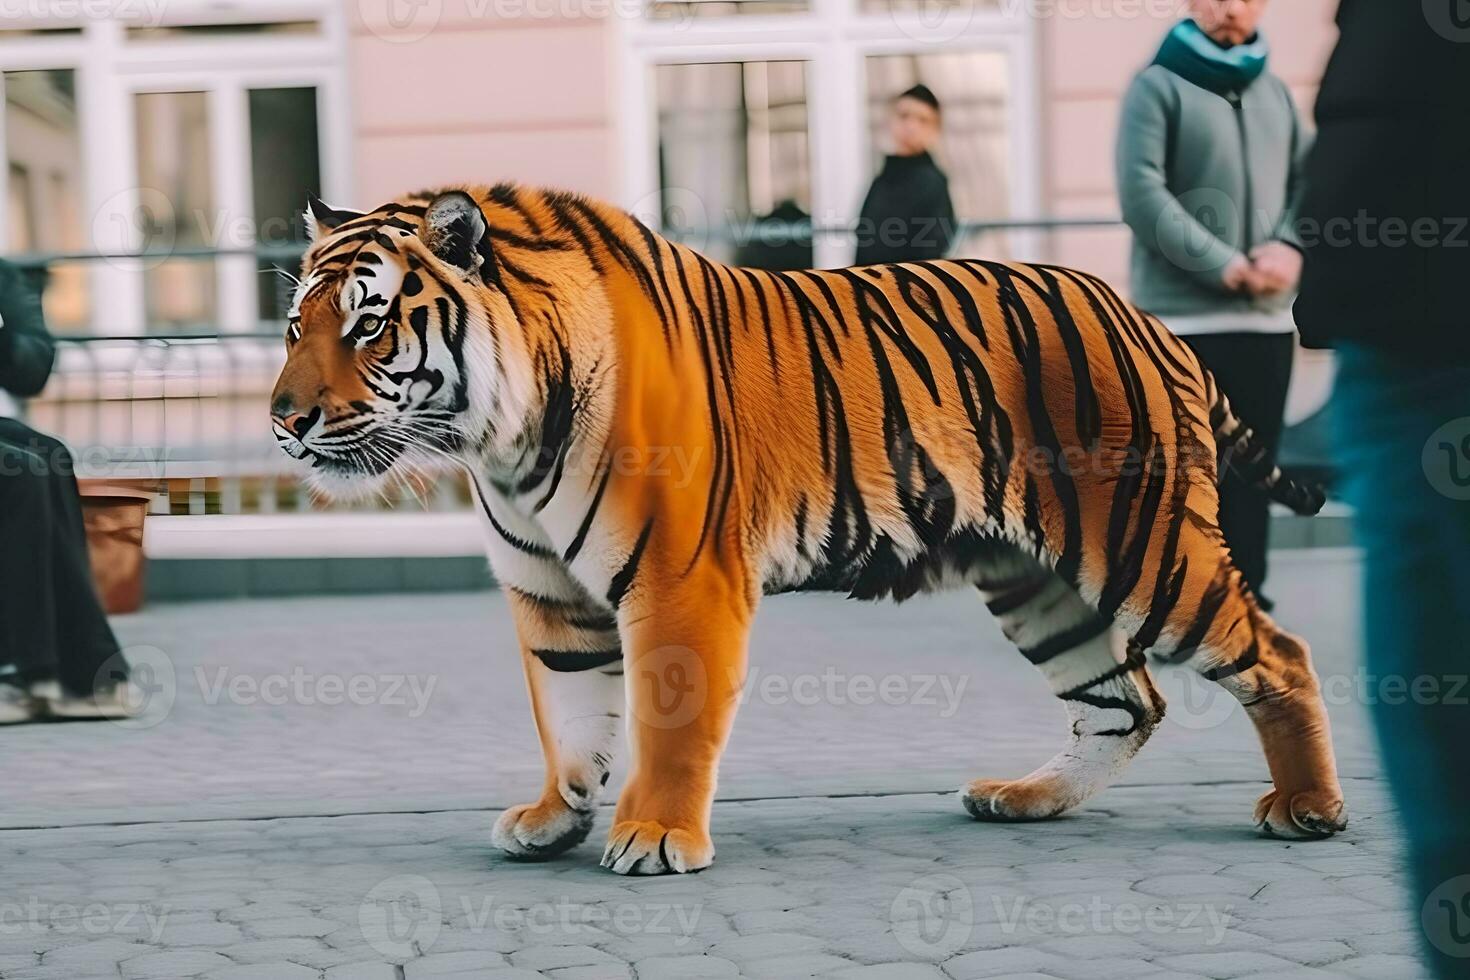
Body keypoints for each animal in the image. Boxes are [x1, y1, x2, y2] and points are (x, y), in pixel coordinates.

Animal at [273, 188, 1346, 875]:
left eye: (368, 325)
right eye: (293, 327)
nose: (284, 419)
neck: (499, 440)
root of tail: (1150, 322)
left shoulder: (678, 583)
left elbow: (667, 725)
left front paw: (653, 838)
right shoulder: (551, 599)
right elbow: (572, 721)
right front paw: (553, 820)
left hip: (1141, 546)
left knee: (1277, 656)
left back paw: (1308, 810)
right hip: (1037, 582)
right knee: (1128, 702)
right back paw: (1026, 799)